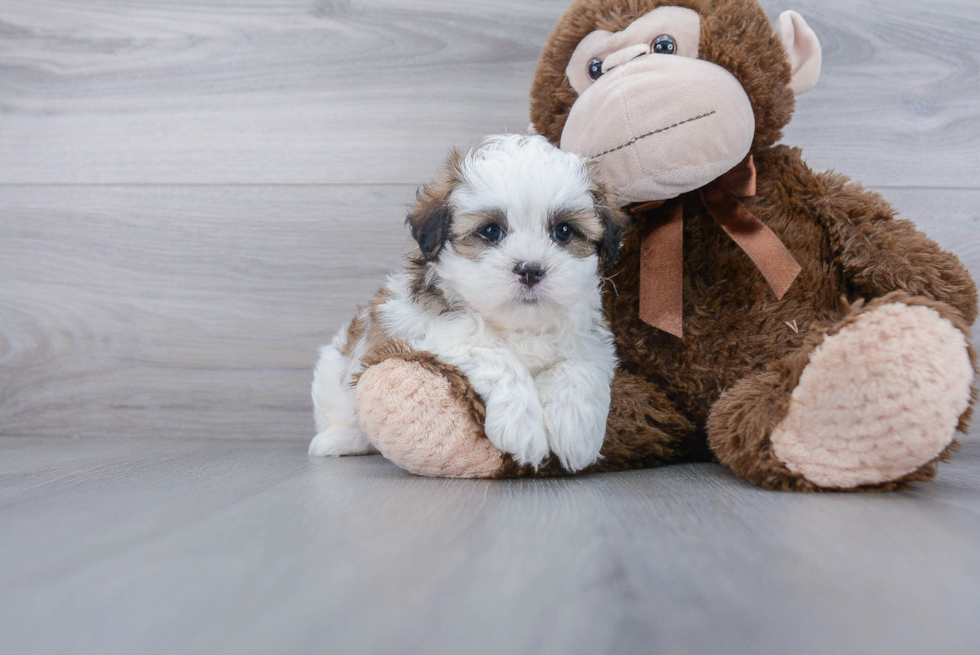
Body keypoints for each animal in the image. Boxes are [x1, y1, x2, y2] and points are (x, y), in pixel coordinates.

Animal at [308, 135, 628, 472]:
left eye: (564, 231)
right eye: (491, 231)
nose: (530, 269)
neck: (518, 324)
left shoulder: (591, 341)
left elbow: (577, 367)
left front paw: (574, 430)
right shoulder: (427, 333)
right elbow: (496, 356)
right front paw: (523, 427)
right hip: (334, 371)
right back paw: (339, 440)